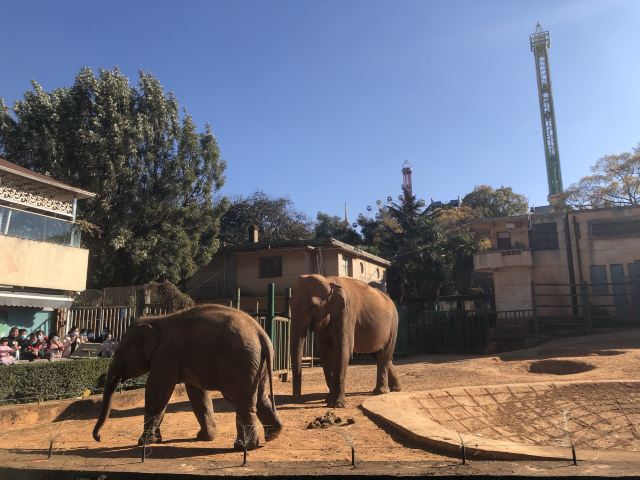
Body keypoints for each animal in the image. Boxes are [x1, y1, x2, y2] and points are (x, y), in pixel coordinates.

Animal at [91, 304, 282, 450]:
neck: (156, 320)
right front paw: (204, 437)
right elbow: (197, 393)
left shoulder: (166, 353)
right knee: (259, 397)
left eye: (119, 352)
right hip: (257, 364)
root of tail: (261, 333)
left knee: (240, 399)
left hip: (239, 361)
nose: (99, 438)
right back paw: (272, 435)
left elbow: (158, 390)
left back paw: (242, 446)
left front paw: (144, 442)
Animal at [290, 274, 400, 408]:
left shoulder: (346, 313)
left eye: (312, 306)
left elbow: (342, 349)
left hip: (393, 325)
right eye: (289, 304)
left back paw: (381, 392)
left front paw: (337, 404)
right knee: (378, 355)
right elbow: (325, 353)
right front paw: (328, 400)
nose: (296, 399)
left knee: (384, 354)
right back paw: (395, 389)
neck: (329, 282)